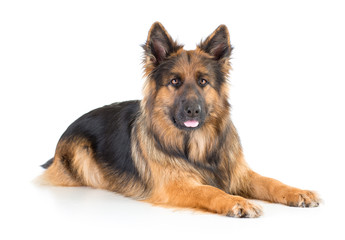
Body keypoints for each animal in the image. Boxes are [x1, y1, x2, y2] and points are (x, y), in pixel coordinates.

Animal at [39, 22, 318, 218]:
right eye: (175, 82)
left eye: (203, 81)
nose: (193, 110)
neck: (196, 145)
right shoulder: (177, 186)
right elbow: (210, 190)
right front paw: (236, 202)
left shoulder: (239, 173)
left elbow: (270, 181)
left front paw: (297, 192)